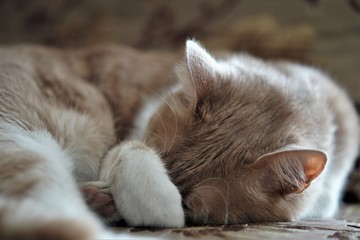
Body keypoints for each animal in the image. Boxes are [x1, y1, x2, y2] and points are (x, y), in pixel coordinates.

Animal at [0, 40, 358, 239]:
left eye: (191, 206)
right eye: (158, 155)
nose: (109, 198)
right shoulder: (125, 142)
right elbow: (129, 151)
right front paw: (154, 200)